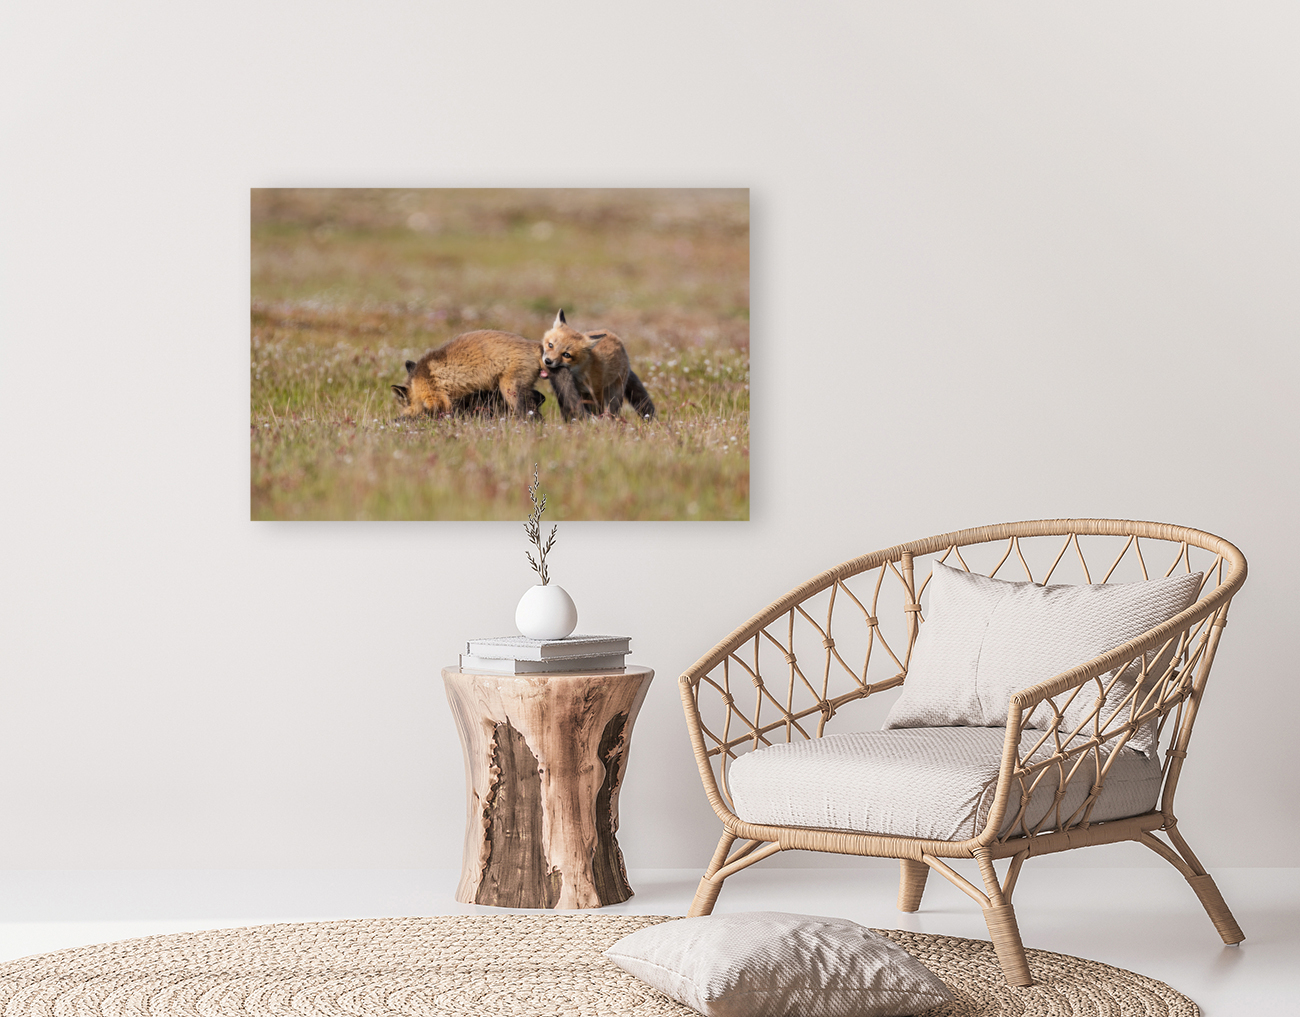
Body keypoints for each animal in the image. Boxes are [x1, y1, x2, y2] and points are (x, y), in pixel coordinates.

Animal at [390, 330, 544, 418]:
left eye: (404, 403)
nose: (402, 415)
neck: (418, 381)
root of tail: (534, 344)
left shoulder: (437, 399)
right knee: (540, 398)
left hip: (511, 391)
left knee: (533, 414)